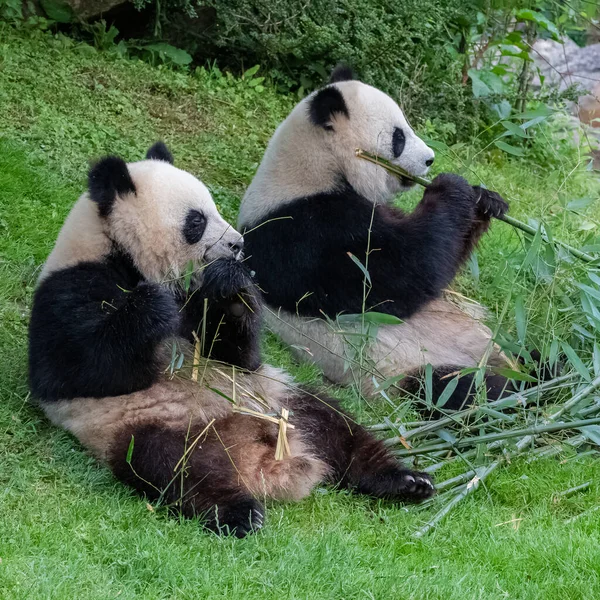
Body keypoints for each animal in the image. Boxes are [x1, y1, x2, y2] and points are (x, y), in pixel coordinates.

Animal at [28, 142, 434, 540]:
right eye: (196, 220)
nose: (237, 244)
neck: (122, 253)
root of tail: (256, 458)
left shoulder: (198, 302)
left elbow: (236, 355)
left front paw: (232, 290)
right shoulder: (72, 287)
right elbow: (72, 370)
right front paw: (152, 307)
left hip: (280, 399)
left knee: (337, 425)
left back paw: (405, 480)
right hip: (145, 425)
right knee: (173, 468)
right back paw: (239, 512)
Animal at [237, 67, 528, 412]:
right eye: (398, 137)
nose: (430, 160)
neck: (314, 168)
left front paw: (486, 200)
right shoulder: (301, 233)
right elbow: (396, 276)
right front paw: (451, 187)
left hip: (497, 341)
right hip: (408, 371)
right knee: (466, 391)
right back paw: (534, 388)